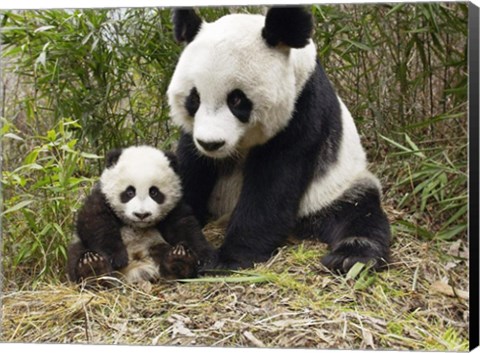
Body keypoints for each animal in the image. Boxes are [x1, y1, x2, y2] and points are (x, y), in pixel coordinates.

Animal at [167, 7, 392, 272]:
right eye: (194, 99)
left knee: (360, 214)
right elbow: (191, 168)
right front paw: (183, 244)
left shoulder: (303, 110)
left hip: (336, 188)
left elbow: (273, 185)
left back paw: (349, 257)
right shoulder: (193, 136)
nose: (211, 144)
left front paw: (227, 259)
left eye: (236, 99)